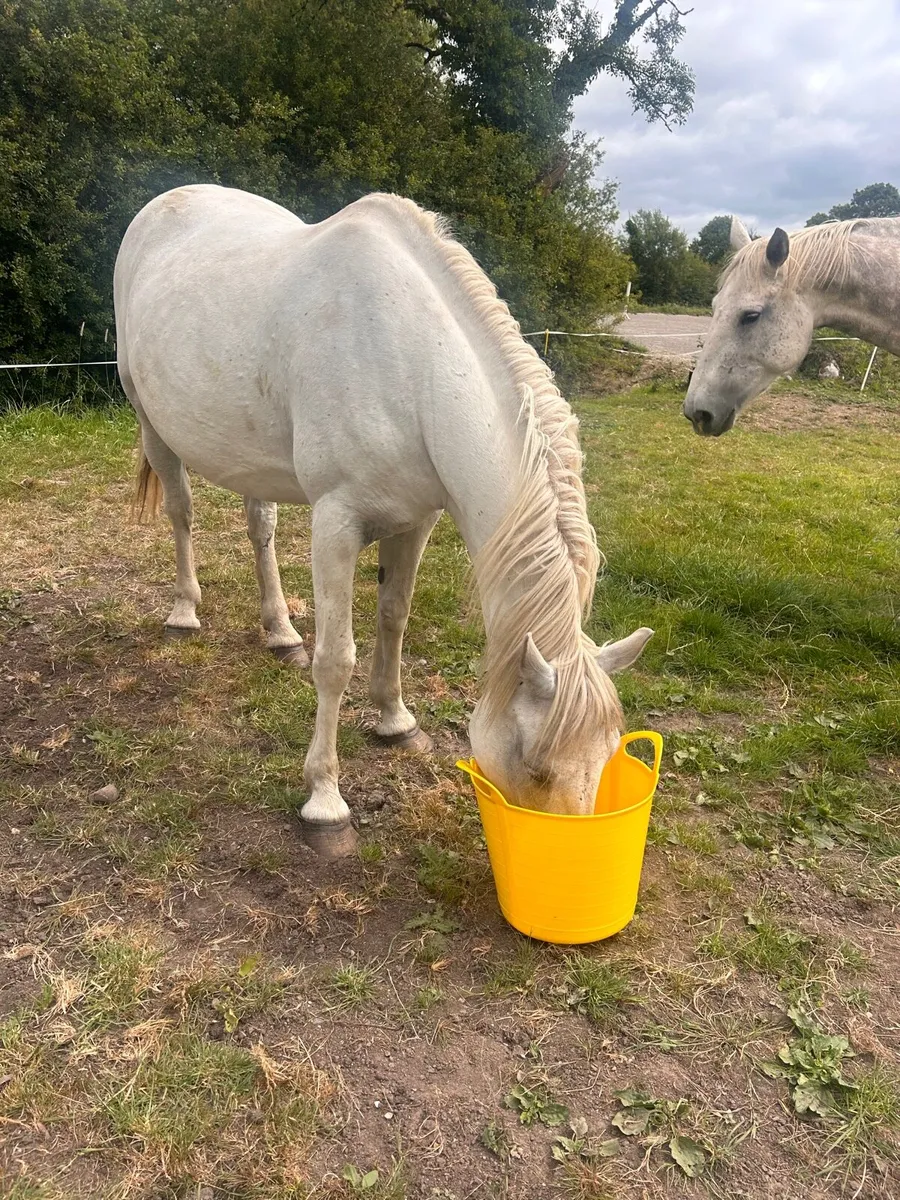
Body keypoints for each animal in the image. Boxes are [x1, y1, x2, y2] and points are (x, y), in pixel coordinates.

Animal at [115, 184, 652, 856]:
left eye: (605, 759)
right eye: (537, 767)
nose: (564, 860)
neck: (409, 366)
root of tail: (163, 203)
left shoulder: (415, 520)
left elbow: (394, 617)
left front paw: (396, 721)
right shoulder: (335, 523)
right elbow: (335, 658)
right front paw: (325, 802)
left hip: (251, 456)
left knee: (260, 526)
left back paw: (279, 631)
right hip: (151, 422)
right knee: (182, 514)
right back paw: (184, 613)